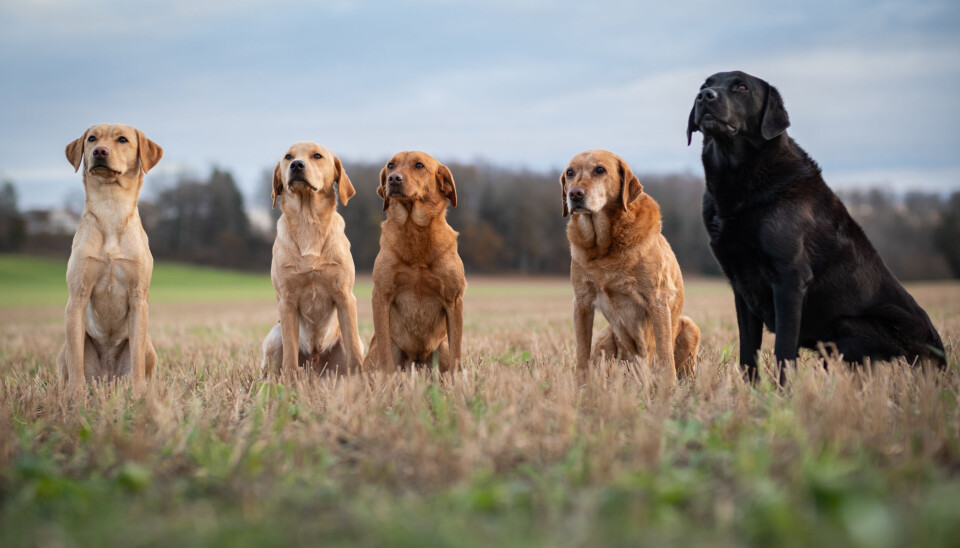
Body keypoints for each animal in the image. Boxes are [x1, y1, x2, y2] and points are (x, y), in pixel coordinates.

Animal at [59, 124, 163, 388]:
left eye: (123, 140)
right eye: (92, 138)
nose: (100, 151)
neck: (111, 208)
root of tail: (107, 378)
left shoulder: (138, 297)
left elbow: (136, 360)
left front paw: (138, 393)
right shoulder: (77, 297)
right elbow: (76, 361)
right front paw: (76, 395)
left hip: (150, 347)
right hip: (63, 351)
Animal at [260, 141, 366, 376]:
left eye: (317, 156)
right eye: (288, 157)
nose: (297, 165)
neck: (308, 221)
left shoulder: (345, 297)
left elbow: (354, 353)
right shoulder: (287, 301)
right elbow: (290, 358)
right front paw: (290, 383)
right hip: (274, 336)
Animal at [362, 151, 466, 372]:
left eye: (419, 165)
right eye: (390, 165)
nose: (394, 178)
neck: (415, 231)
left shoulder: (454, 300)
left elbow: (456, 353)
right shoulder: (381, 296)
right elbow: (385, 354)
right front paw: (387, 380)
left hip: (441, 348)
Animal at [560, 150, 700, 382]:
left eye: (600, 170)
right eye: (570, 173)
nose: (575, 194)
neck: (605, 246)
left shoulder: (657, 300)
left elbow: (665, 355)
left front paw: (668, 388)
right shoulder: (581, 302)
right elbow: (581, 355)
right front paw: (581, 387)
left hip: (690, 326)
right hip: (606, 335)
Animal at [688, 70, 948, 384]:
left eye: (741, 87)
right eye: (705, 85)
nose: (705, 96)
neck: (739, 177)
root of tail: (943, 362)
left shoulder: (789, 277)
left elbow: (783, 351)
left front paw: (782, 394)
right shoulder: (741, 285)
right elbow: (747, 354)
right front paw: (750, 392)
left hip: (848, 326)